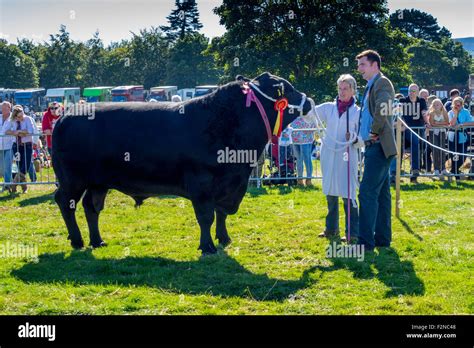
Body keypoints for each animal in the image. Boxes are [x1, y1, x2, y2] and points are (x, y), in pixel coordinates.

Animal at [51, 72, 312, 253]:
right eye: (286, 88)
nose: (309, 100)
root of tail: (66, 115)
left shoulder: (229, 185)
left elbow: (221, 214)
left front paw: (224, 238)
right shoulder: (202, 184)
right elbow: (206, 217)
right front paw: (207, 246)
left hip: (98, 183)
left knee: (91, 207)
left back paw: (97, 241)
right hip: (72, 179)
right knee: (66, 202)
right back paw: (77, 240)